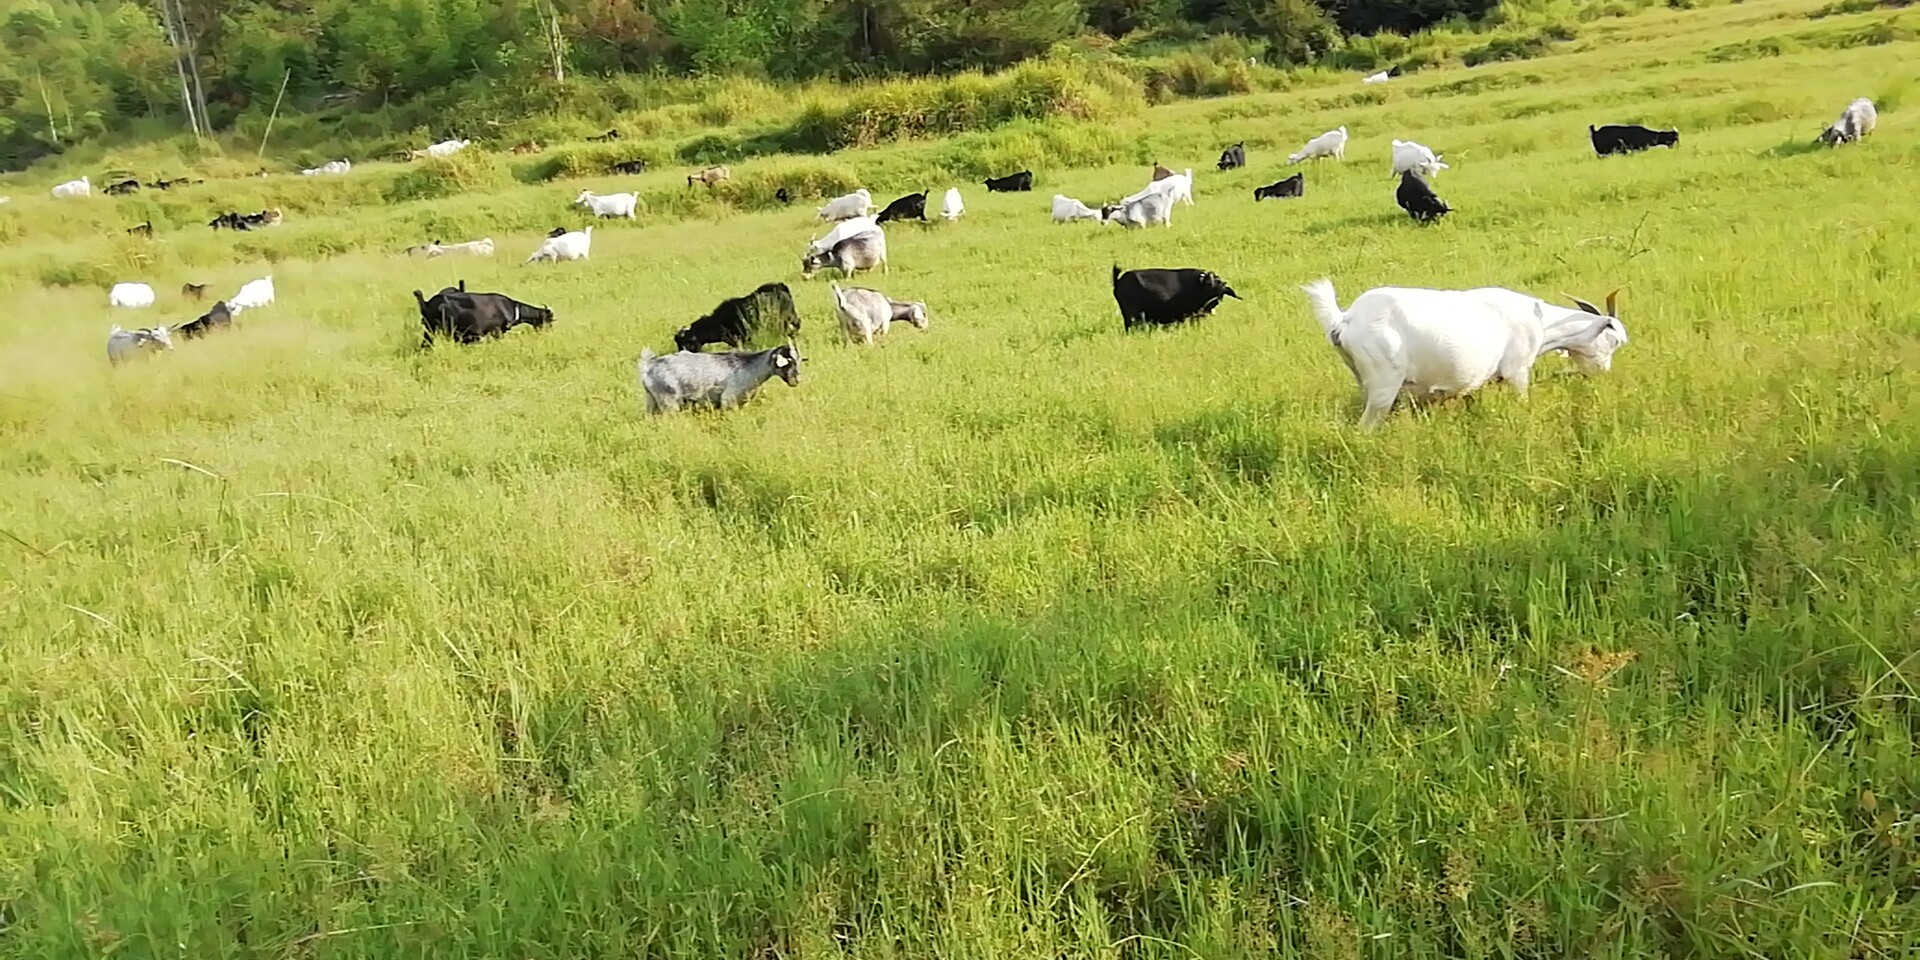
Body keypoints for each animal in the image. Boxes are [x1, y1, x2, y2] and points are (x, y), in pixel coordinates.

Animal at [637, 343, 802, 414]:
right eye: (787, 362)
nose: (796, 381)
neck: (751, 367)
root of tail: (648, 367)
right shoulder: (729, 399)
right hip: (668, 401)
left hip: (652, 400)